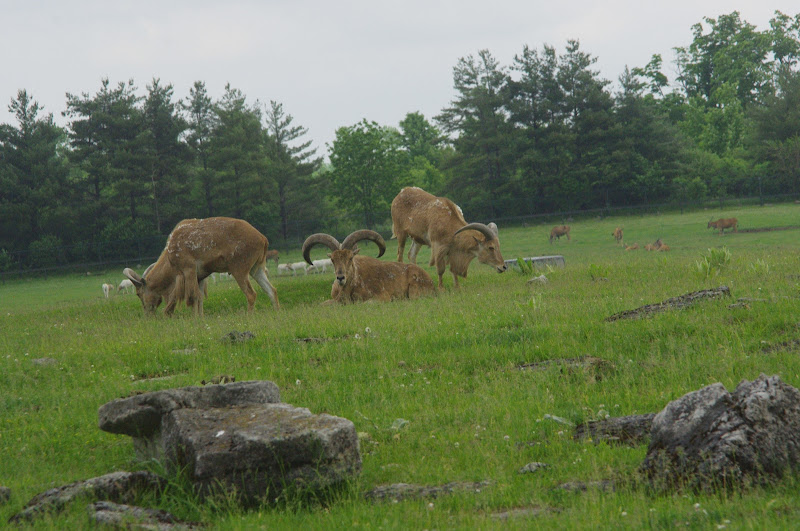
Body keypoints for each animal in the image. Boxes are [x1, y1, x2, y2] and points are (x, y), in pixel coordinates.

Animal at [122, 217, 279, 316]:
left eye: (138, 293)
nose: (148, 313)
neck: (170, 259)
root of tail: (263, 239)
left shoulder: (189, 270)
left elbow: (193, 297)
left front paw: (195, 319)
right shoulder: (201, 276)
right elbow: (200, 298)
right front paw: (201, 317)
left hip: (239, 269)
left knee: (251, 294)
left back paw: (249, 316)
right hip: (256, 269)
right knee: (271, 290)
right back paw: (276, 313)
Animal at [302, 230, 434, 303]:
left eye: (350, 258)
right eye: (332, 260)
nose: (340, 278)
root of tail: (430, 280)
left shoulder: (381, 297)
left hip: (414, 291)